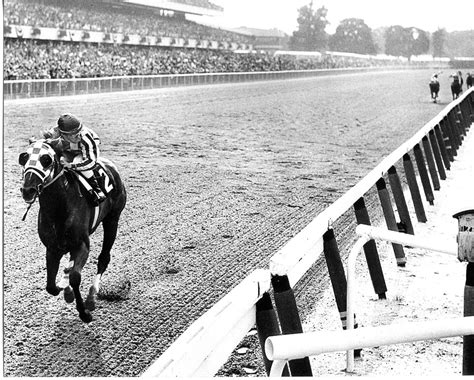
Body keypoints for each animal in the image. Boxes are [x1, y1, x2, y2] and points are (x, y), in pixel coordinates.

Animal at [18, 138, 127, 322]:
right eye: (24, 157)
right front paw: (65, 288)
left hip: (112, 220)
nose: (28, 190)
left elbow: (76, 277)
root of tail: (111, 166)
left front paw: (84, 312)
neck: (59, 208)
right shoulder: (52, 249)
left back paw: (91, 297)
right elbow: (51, 286)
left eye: (46, 159)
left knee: (104, 258)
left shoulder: (82, 245)